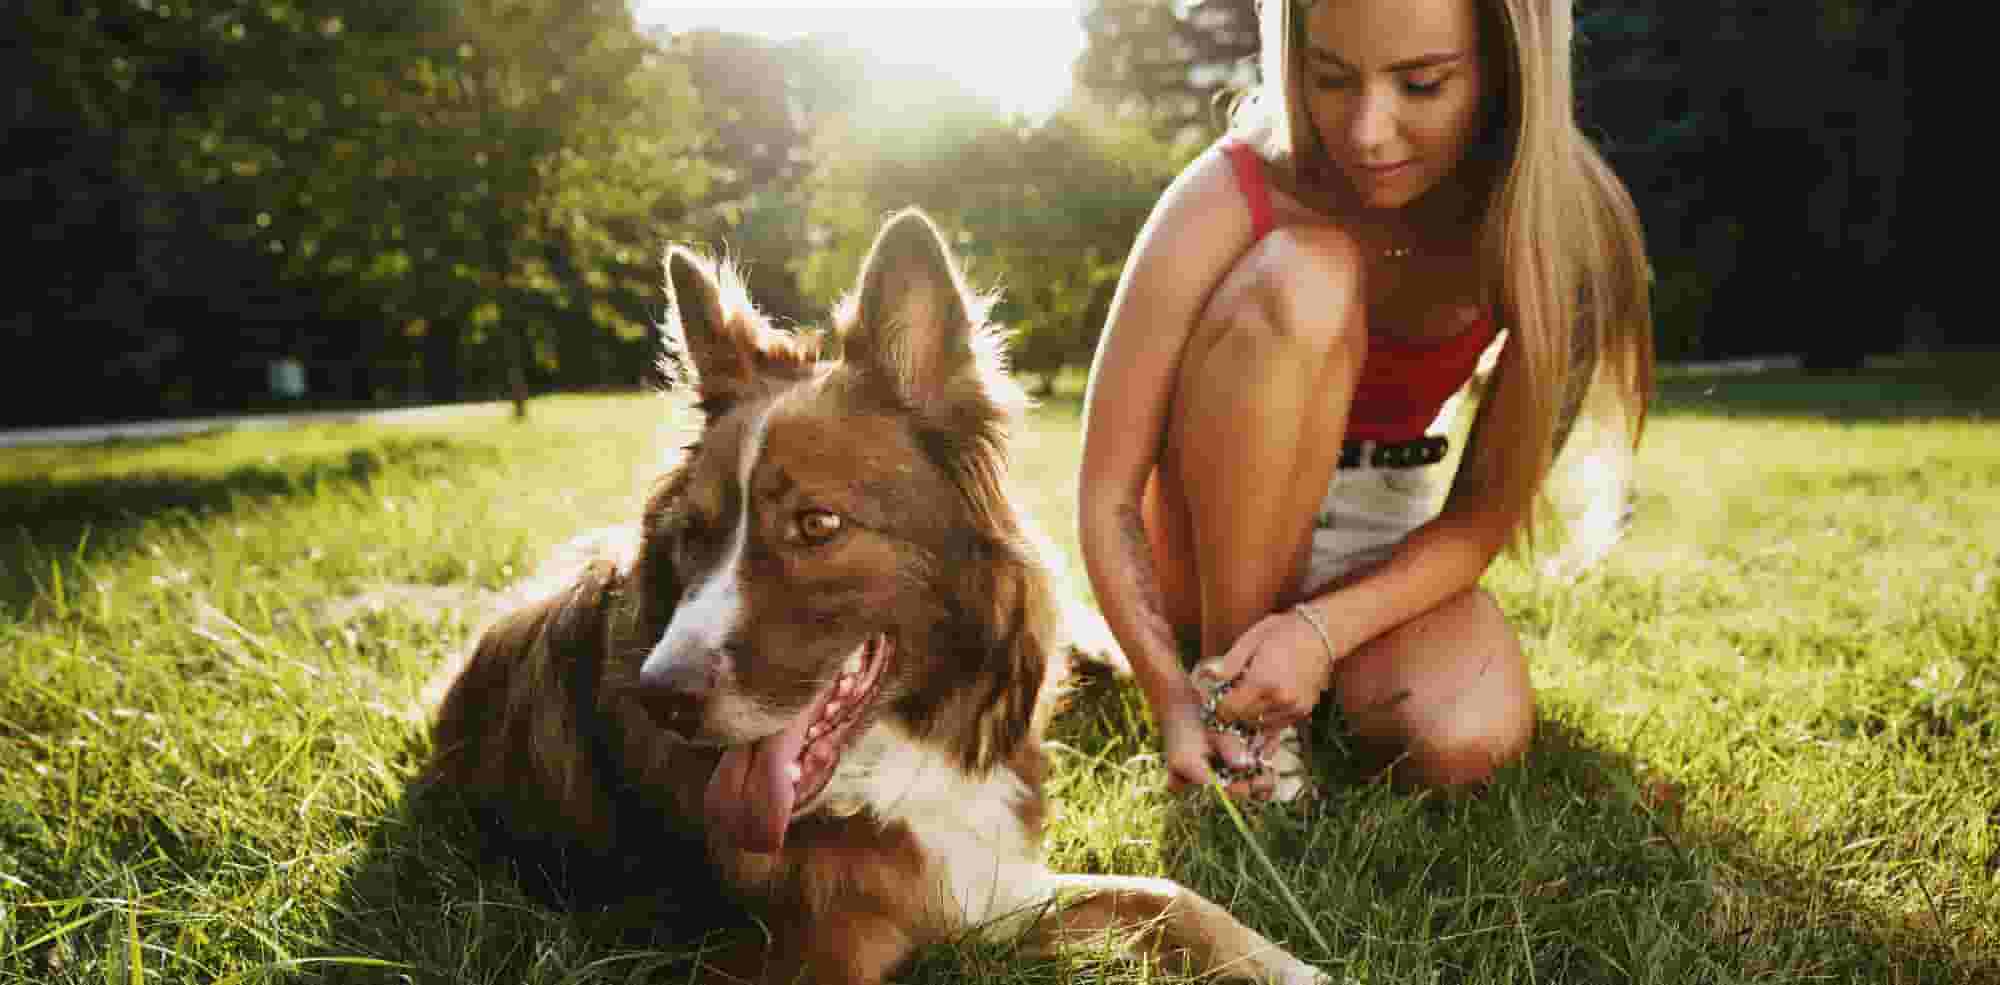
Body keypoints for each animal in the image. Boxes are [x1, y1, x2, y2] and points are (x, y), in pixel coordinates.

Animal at [426, 209, 1328, 985]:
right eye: (692, 534)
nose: (662, 699)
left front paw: (1290, 961)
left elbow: (1164, 893)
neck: (903, 744)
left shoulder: (988, 886)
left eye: (817, 523)